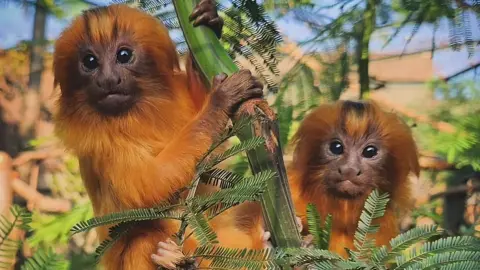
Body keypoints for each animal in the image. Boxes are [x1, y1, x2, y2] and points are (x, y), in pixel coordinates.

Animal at [53, 1, 266, 268]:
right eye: (90, 61)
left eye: (123, 55)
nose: (108, 79)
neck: (135, 115)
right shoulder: (101, 145)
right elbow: (151, 184)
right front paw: (220, 100)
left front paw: (210, 22)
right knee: (142, 238)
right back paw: (171, 259)